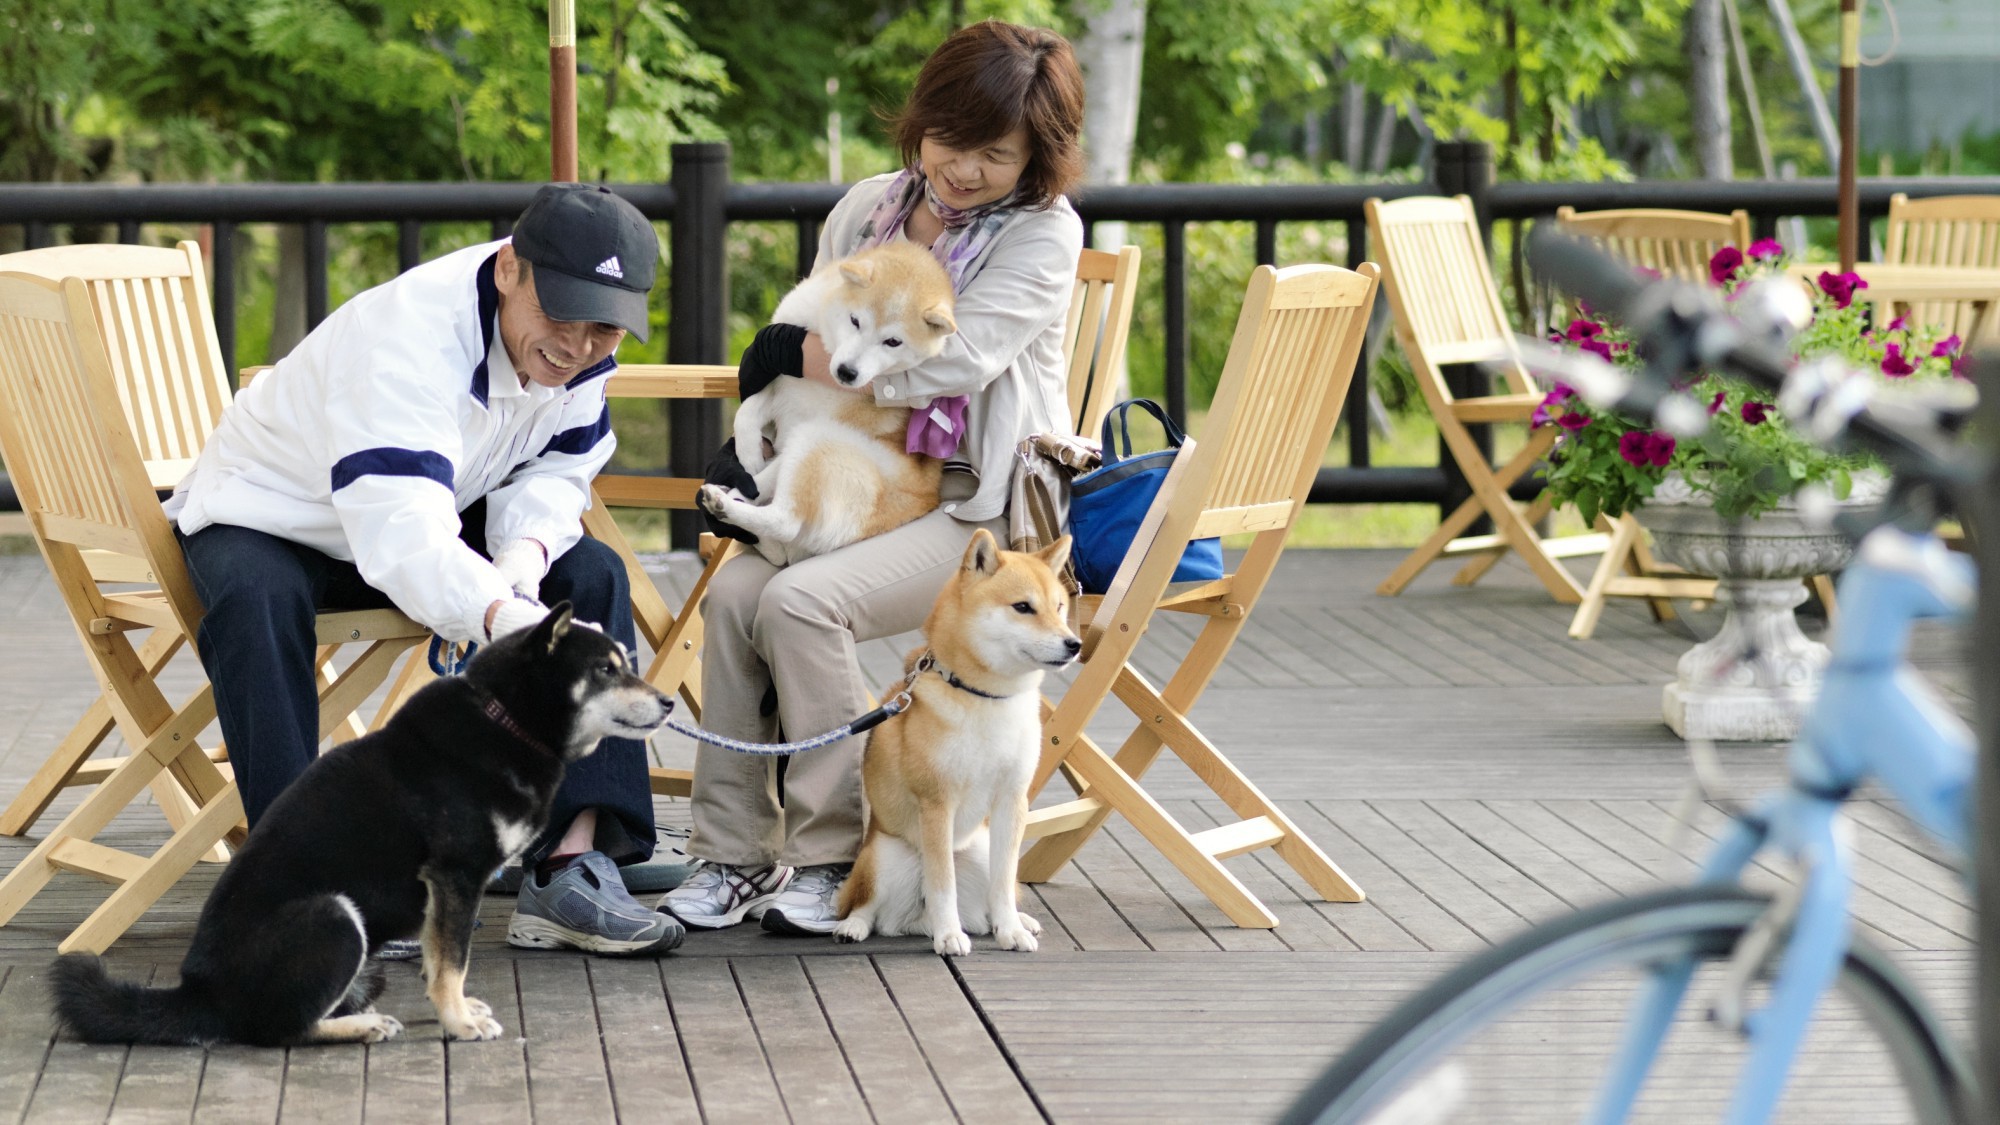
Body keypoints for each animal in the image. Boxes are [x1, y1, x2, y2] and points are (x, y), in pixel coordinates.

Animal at [45, 600, 672, 1048]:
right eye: (604, 670)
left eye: (626, 665)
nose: (667, 703)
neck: (506, 721)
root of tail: (198, 993)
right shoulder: (455, 875)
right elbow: (453, 962)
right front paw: (458, 1023)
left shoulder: (446, 891)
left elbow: (441, 960)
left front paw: (455, 1010)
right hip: (336, 917)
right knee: (273, 1030)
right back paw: (358, 1026)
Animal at [700, 241, 956, 564]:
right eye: (855, 321)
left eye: (893, 342)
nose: (847, 372)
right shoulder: (779, 380)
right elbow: (746, 414)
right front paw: (747, 457)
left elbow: (766, 477)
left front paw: (747, 479)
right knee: (777, 547)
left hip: (818, 440)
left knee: (785, 521)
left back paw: (726, 505)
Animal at [832, 528, 1080, 948]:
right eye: (1023, 607)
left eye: (1059, 607)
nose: (1074, 644)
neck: (986, 699)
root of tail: (915, 920)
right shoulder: (937, 803)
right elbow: (941, 883)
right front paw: (949, 935)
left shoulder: (1012, 799)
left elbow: (1003, 882)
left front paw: (1011, 931)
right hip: (883, 856)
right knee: (866, 905)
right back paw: (855, 927)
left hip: (979, 849)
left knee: (993, 898)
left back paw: (1016, 921)